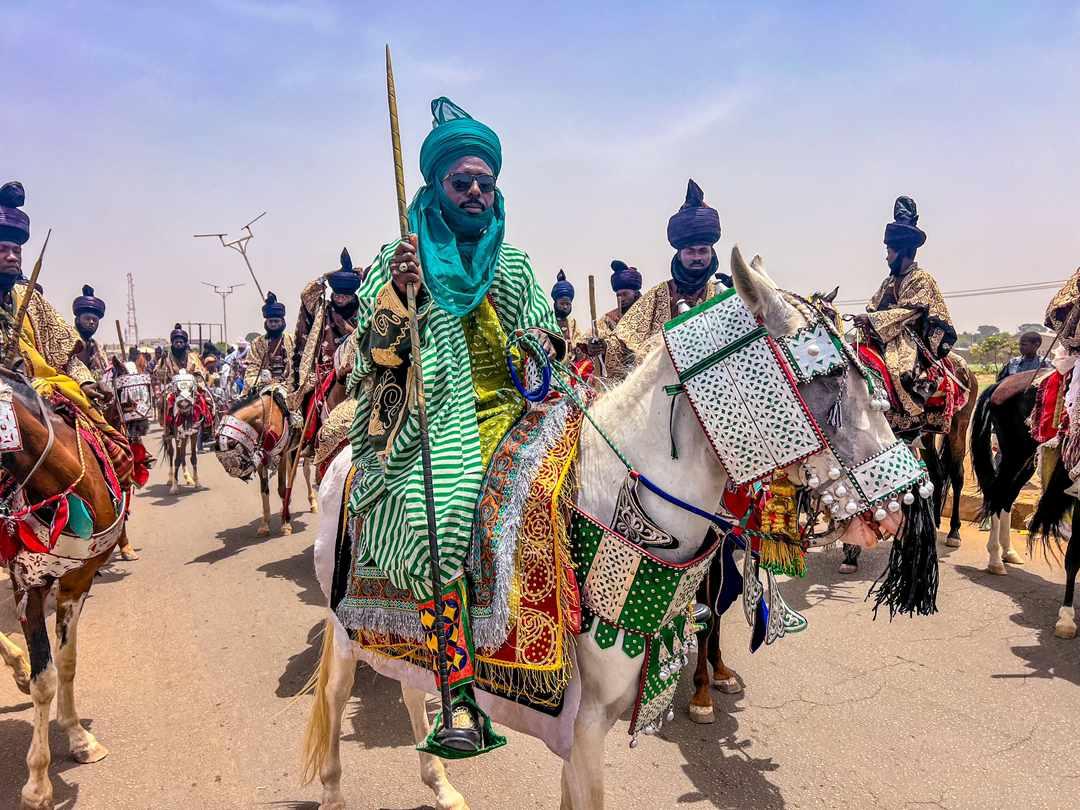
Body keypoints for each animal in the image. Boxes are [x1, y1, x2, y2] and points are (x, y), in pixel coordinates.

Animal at [0, 371, 126, 807]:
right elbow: (45, 680)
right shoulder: (27, 585)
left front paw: (78, 737)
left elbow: (67, 663)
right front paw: (38, 783)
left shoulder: (78, 580)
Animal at [304, 249, 911, 810]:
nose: (901, 506)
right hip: (343, 628)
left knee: (412, 688)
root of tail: (346, 459)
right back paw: (338, 791)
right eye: (830, 376)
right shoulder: (585, 728)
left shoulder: (584, 733)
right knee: (335, 695)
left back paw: (442, 782)